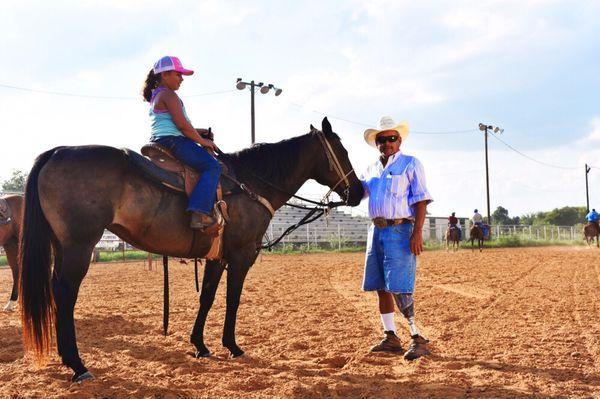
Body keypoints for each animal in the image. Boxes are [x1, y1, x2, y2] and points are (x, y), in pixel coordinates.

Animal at [18, 117, 364, 382]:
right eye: (342, 150)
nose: (359, 191)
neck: (251, 184)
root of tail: (57, 152)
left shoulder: (217, 257)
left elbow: (207, 297)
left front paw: (200, 345)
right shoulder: (241, 255)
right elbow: (233, 300)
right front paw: (232, 346)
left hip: (63, 247)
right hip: (79, 247)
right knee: (65, 295)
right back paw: (77, 365)